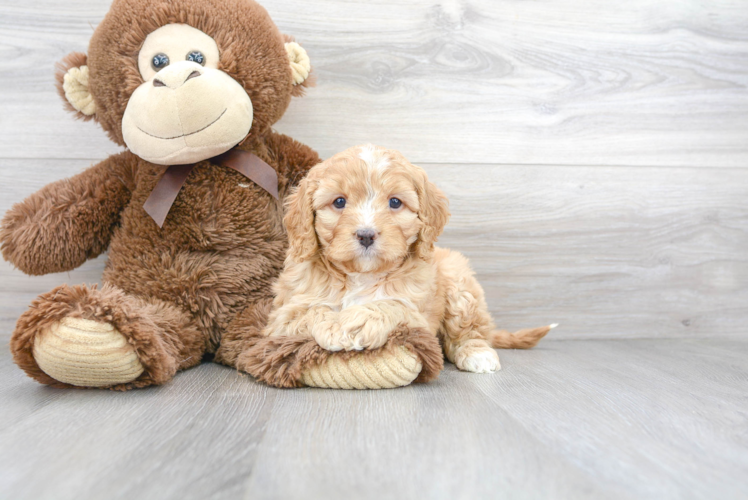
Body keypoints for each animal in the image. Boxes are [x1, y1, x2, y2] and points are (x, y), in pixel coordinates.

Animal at [264, 145, 556, 372]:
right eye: (339, 202)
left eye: (395, 202)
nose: (366, 235)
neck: (362, 275)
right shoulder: (282, 317)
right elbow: (311, 310)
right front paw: (334, 325)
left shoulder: (419, 319)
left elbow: (391, 305)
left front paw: (356, 323)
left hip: (459, 281)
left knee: (470, 330)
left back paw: (478, 353)